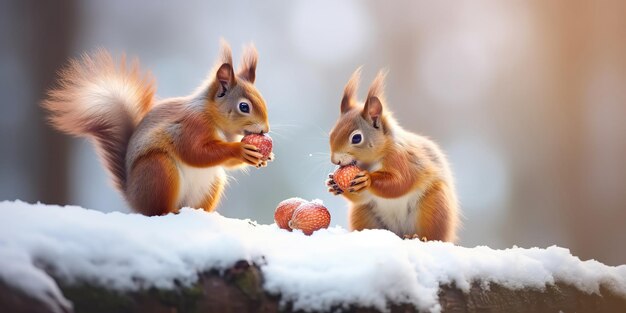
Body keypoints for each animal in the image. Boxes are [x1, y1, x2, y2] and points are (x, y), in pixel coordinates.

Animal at [41, 40, 270, 214]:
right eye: (244, 106)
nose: (264, 130)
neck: (217, 121)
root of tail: (134, 200)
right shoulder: (190, 126)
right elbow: (195, 152)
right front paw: (240, 149)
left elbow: (226, 163)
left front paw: (260, 157)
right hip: (159, 170)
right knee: (157, 210)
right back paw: (169, 211)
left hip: (212, 183)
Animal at [326, 68, 458, 240]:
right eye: (331, 133)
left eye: (356, 138)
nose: (335, 161)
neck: (373, 162)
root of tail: (400, 233)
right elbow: (362, 196)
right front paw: (334, 184)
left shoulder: (403, 160)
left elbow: (400, 182)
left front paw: (368, 179)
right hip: (363, 213)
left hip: (435, 206)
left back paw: (419, 237)